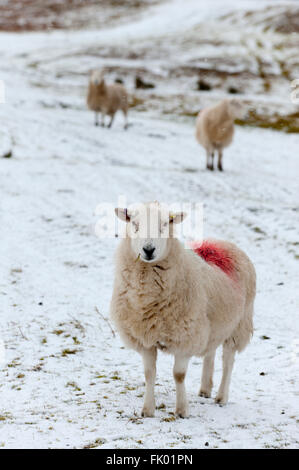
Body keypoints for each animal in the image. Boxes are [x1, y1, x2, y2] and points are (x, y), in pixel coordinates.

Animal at [111, 200, 256, 416]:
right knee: (210, 353)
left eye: (164, 225)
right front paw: (148, 410)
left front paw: (181, 410)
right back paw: (205, 389)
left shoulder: (185, 337)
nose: (148, 249)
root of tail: (219, 242)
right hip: (211, 323)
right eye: (135, 224)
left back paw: (221, 397)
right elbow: (149, 373)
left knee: (228, 361)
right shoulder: (145, 338)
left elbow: (178, 375)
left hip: (238, 326)